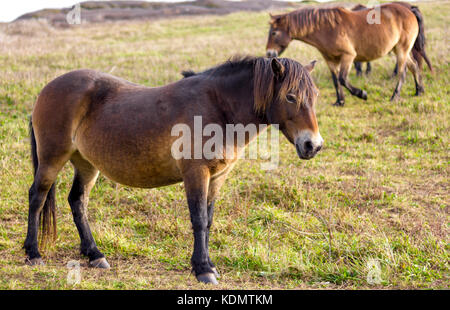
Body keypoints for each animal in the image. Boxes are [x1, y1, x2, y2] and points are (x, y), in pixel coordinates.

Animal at [24, 56, 322, 286]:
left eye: (314, 97)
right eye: (290, 97)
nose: (313, 145)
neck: (218, 108)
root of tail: (46, 90)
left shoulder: (217, 177)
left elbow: (208, 221)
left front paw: (208, 264)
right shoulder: (196, 174)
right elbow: (198, 220)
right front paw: (203, 269)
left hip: (86, 164)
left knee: (77, 201)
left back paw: (95, 254)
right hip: (52, 159)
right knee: (37, 198)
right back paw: (33, 253)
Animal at [266, 2, 428, 105]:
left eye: (274, 33)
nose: (269, 54)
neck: (327, 28)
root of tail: (410, 10)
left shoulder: (348, 56)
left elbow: (343, 79)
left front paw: (362, 94)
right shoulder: (330, 60)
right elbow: (335, 80)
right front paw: (340, 101)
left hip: (402, 50)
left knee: (402, 72)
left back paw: (395, 96)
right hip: (400, 50)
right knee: (414, 66)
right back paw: (419, 91)